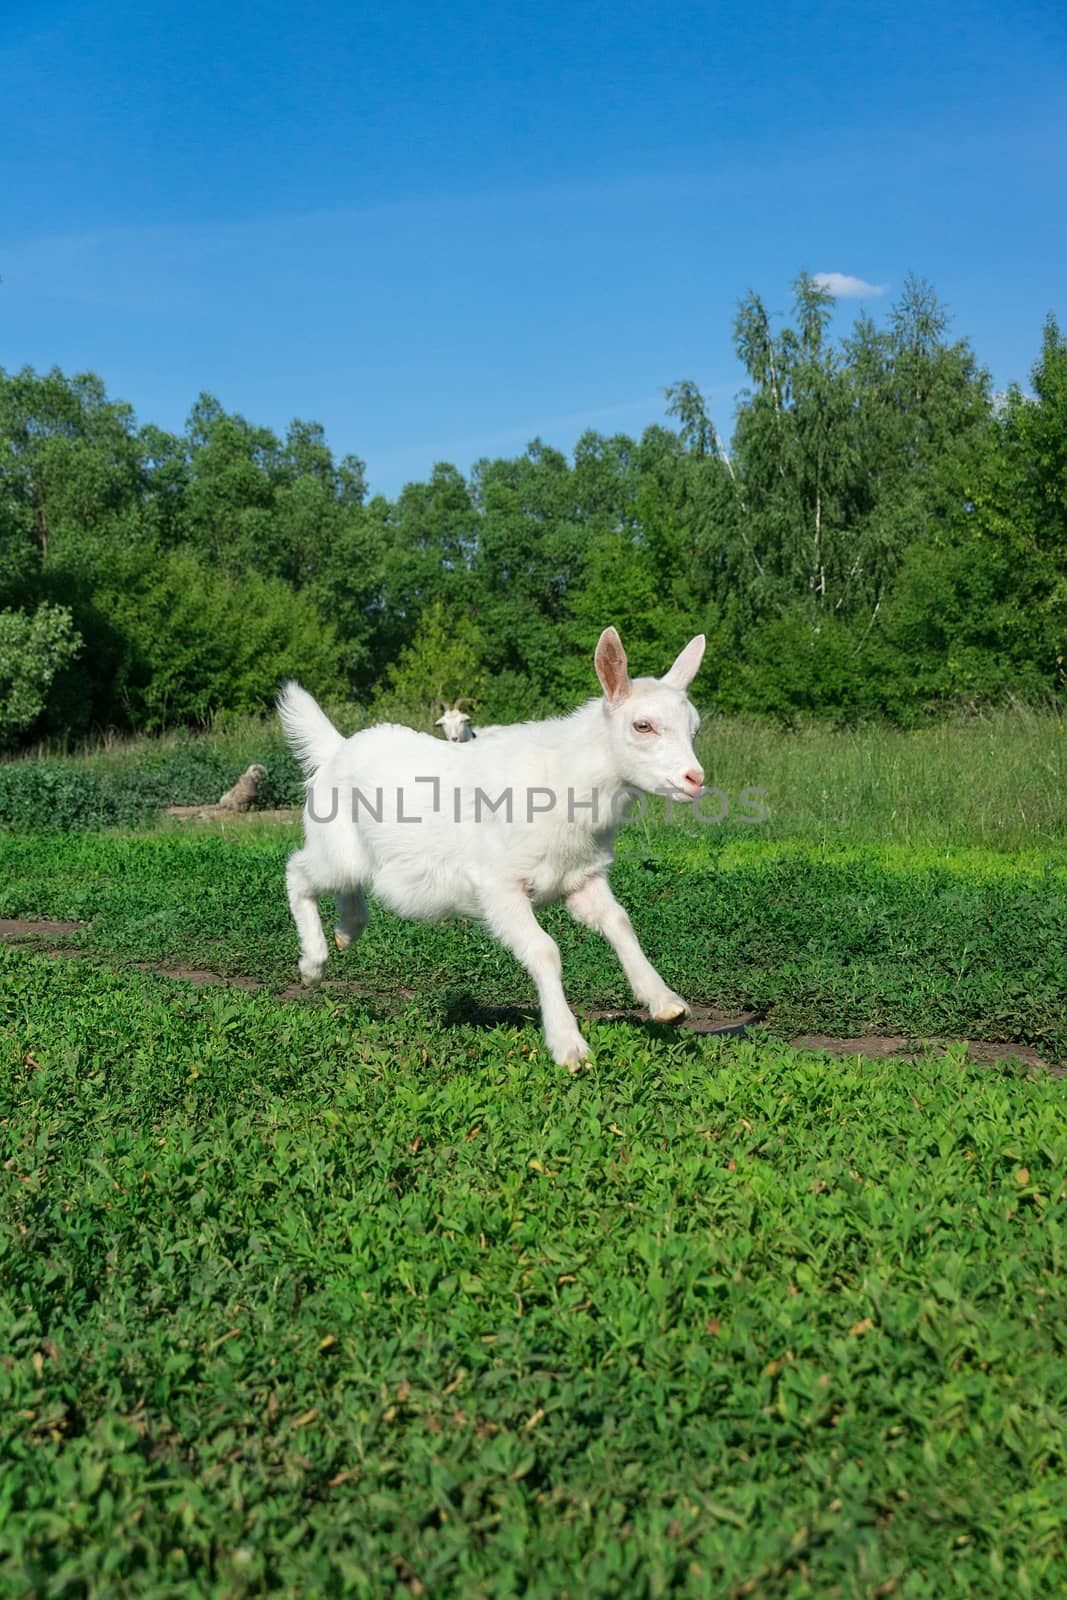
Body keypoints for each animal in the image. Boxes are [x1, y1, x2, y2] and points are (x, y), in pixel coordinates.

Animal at [279, 630, 703, 1068]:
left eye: (695, 730)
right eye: (642, 725)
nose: (695, 779)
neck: (567, 778)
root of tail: (335, 750)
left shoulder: (581, 876)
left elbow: (619, 922)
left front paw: (666, 1004)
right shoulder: (499, 885)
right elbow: (544, 950)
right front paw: (569, 1046)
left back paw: (346, 931)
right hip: (334, 846)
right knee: (298, 873)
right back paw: (313, 963)